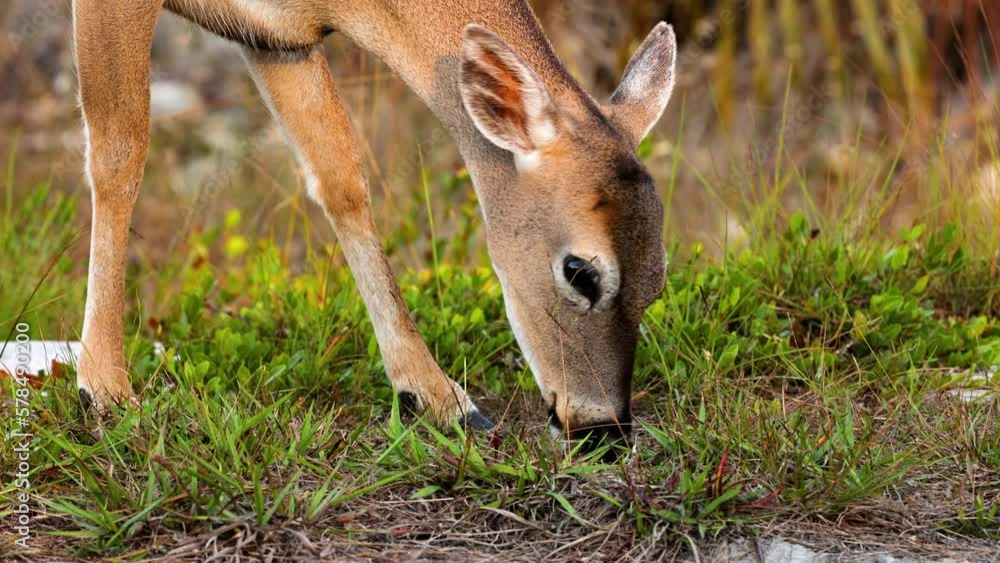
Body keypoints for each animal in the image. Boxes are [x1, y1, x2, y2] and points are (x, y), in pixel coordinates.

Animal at [73, 0, 676, 452]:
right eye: (580, 272)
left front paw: (439, 397)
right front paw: (104, 390)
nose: (601, 429)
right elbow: (119, 152)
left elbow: (342, 178)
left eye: (658, 282)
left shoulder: (278, 37)